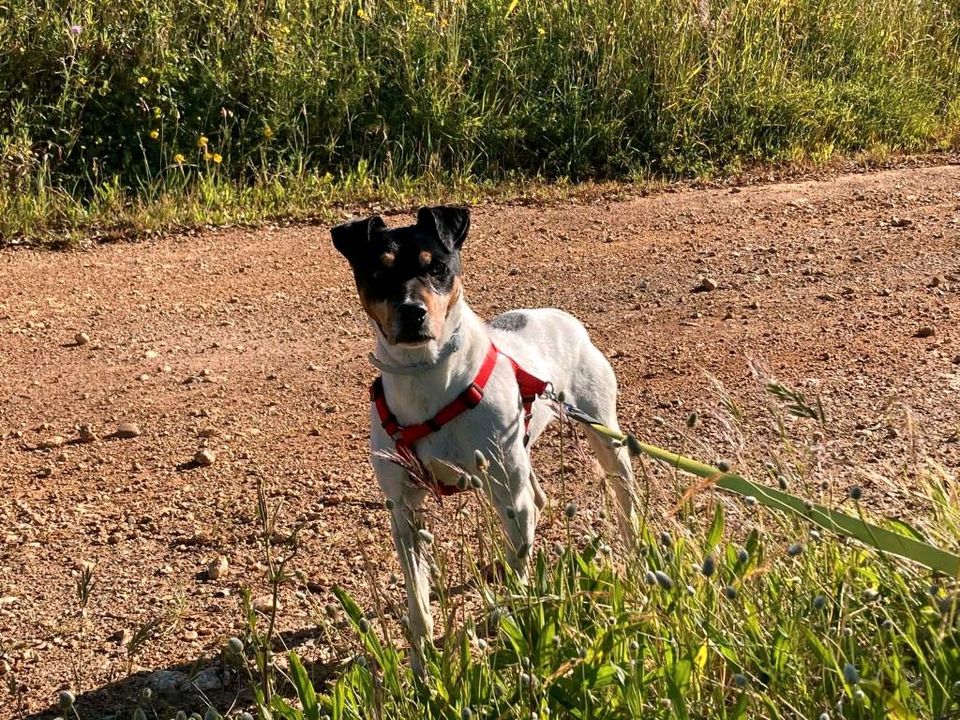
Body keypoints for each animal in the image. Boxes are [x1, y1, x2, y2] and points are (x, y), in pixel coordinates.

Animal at [330, 204, 636, 676]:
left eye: (437, 267)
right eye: (377, 273)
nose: (412, 312)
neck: (428, 379)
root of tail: (559, 315)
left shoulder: (507, 494)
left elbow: (518, 573)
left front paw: (512, 621)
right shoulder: (404, 509)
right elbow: (417, 598)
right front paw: (422, 661)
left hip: (602, 434)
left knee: (619, 497)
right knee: (535, 498)